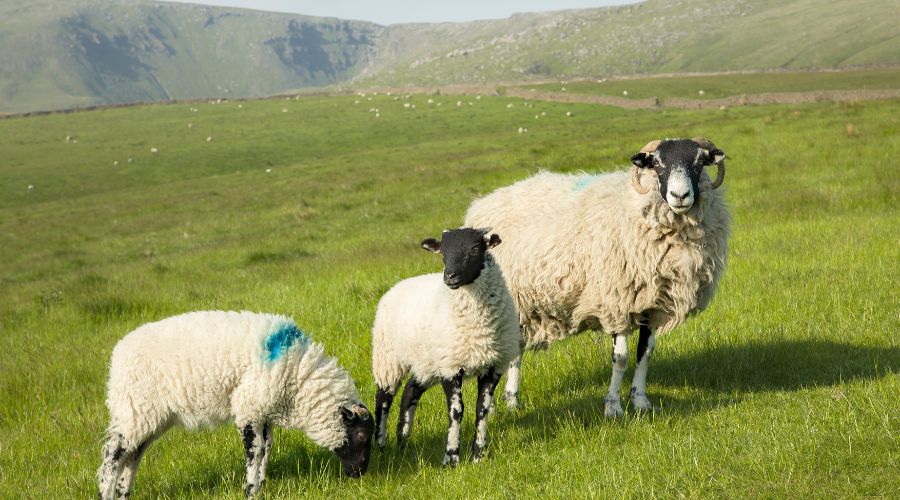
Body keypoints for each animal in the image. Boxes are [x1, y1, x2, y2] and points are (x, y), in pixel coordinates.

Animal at [98, 310, 376, 498]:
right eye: (362, 435)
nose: (360, 473)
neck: (299, 377)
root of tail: (117, 356)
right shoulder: (249, 406)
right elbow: (255, 451)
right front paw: (251, 490)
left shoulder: (262, 410)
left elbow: (266, 448)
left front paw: (260, 485)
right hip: (135, 407)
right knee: (112, 458)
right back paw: (107, 491)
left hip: (149, 416)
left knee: (132, 455)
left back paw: (123, 493)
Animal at [368, 229, 520, 466]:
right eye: (443, 252)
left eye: (475, 249)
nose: (450, 277)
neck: (479, 327)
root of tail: (397, 286)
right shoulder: (451, 367)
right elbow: (456, 411)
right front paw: (451, 457)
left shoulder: (492, 366)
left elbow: (482, 409)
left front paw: (478, 456)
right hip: (388, 358)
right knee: (383, 400)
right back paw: (381, 444)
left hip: (426, 362)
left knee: (409, 392)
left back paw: (403, 440)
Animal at [464, 137, 732, 414]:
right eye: (657, 163)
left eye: (699, 161)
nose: (680, 196)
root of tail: (484, 202)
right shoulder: (617, 301)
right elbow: (621, 358)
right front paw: (613, 407)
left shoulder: (652, 305)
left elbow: (645, 354)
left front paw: (640, 401)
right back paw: (498, 405)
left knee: (515, 348)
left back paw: (512, 400)